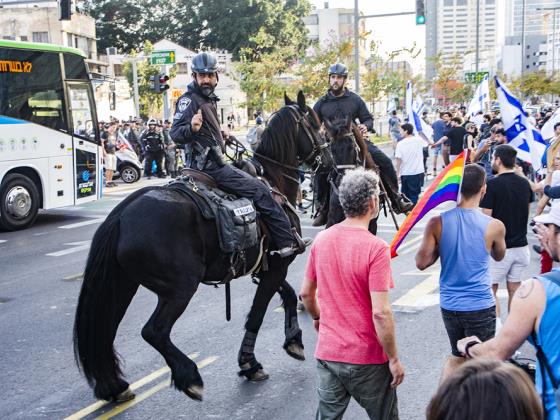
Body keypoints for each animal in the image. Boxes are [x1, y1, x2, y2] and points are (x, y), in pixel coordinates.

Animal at [74, 92, 328, 404]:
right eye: (315, 124)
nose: (328, 160)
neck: (273, 180)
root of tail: (121, 213)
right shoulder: (279, 263)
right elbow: (257, 314)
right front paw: (249, 363)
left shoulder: (268, 266)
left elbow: (289, 295)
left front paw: (292, 340)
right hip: (180, 288)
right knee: (154, 332)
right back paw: (189, 377)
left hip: (122, 285)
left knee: (104, 330)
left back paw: (114, 385)